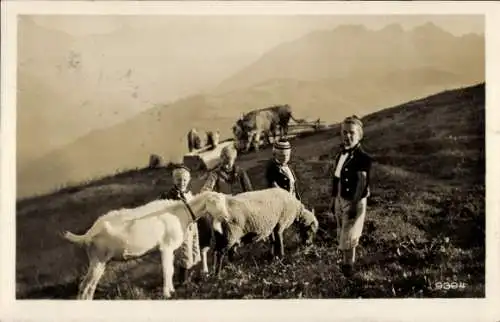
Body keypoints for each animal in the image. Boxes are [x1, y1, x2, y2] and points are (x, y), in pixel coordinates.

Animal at [61, 191, 222, 300]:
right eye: (215, 202)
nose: (225, 217)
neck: (180, 212)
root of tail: (89, 232)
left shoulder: (168, 249)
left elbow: (170, 270)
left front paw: (171, 291)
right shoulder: (165, 247)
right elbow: (167, 271)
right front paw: (167, 294)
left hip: (100, 261)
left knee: (90, 286)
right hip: (98, 259)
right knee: (85, 285)